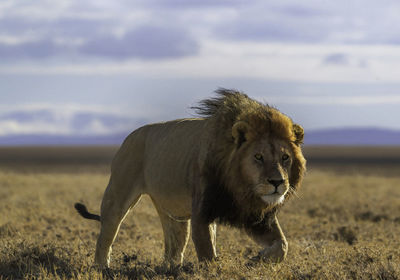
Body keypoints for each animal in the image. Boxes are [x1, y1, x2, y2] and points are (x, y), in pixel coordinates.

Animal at [75, 88, 306, 268]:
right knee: (105, 235)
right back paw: (102, 267)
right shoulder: (202, 211)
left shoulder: (256, 216)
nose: (277, 182)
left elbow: (283, 245)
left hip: (174, 214)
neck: (240, 187)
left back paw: (171, 268)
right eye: (258, 157)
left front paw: (257, 260)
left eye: (285, 158)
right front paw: (214, 270)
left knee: (174, 243)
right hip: (117, 196)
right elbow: (207, 253)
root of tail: (129, 136)